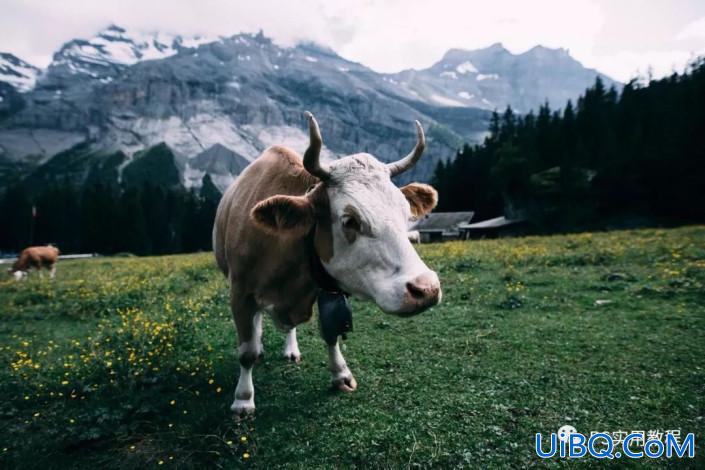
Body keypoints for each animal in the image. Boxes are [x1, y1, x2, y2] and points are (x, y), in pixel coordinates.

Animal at [212, 113, 440, 414]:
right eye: (350, 220)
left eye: (405, 212)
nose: (426, 289)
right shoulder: (240, 292)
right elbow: (246, 351)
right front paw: (243, 399)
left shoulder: (325, 289)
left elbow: (331, 332)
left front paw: (341, 375)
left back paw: (291, 349)